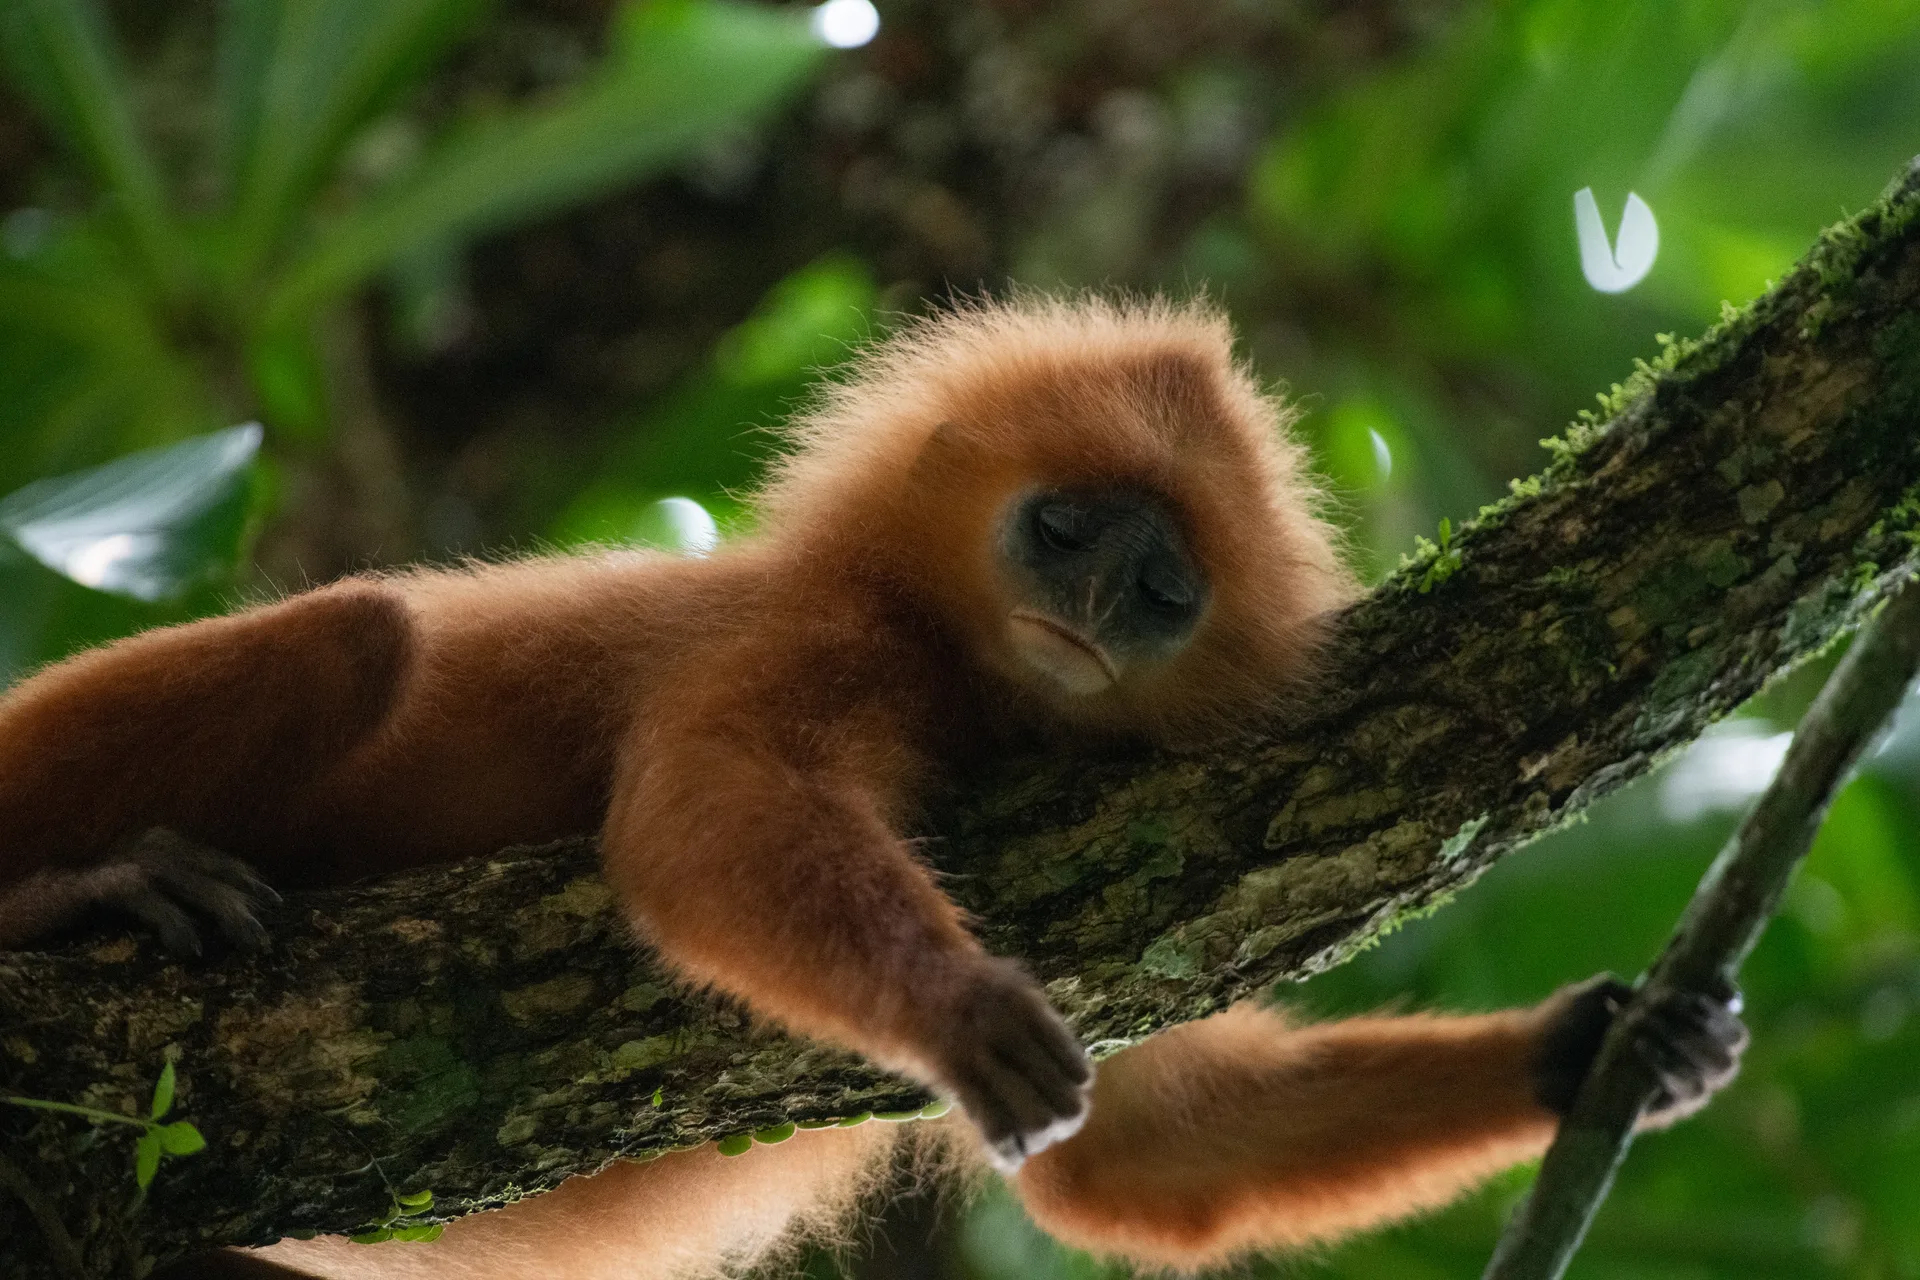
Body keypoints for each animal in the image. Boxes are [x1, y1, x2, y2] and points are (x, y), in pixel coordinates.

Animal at [0, 297, 1747, 1278]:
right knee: (355, 636)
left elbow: (1151, 1149)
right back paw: (66, 892)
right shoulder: (820, 636)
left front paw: (1597, 1044)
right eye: (1066, 527)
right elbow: (701, 811)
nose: (1100, 603)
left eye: (1166, 585)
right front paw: (955, 1001)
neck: (958, 677)